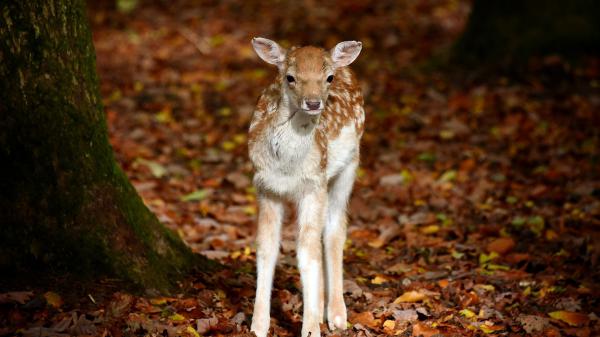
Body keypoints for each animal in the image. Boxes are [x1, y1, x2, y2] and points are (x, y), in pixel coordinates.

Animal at [250, 36, 366, 336]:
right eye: (290, 77)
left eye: (328, 77)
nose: (313, 103)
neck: (287, 168)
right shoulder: (265, 186)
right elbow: (267, 248)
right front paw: (258, 325)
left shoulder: (314, 183)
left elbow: (307, 251)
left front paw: (311, 327)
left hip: (348, 166)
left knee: (335, 229)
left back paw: (336, 315)